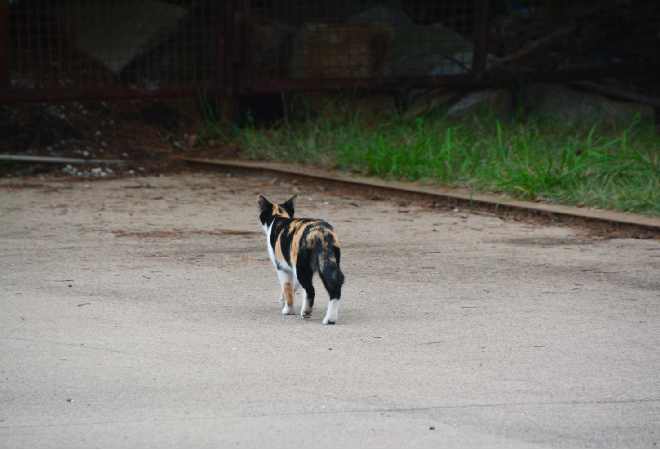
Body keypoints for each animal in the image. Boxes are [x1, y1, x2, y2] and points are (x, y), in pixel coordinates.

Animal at [258, 193, 346, 324]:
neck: (279, 216)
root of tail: (320, 233)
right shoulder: (293, 267)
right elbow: (294, 286)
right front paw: (283, 300)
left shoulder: (282, 267)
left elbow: (288, 288)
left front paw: (288, 309)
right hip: (327, 264)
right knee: (334, 286)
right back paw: (330, 319)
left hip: (301, 267)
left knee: (310, 289)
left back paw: (306, 311)